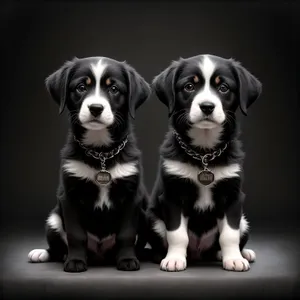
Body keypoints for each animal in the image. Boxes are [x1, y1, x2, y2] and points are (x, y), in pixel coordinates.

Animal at [27, 55, 150, 272]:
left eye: (114, 88)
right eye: (81, 87)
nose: (95, 108)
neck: (101, 153)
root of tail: (99, 256)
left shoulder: (132, 196)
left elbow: (126, 234)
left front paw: (127, 260)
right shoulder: (69, 195)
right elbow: (76, 235)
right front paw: (75, 261)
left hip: (144, 217)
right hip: (53, 219)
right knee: (57, 246)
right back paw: (44, 253)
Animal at [148, 54, 262, 272]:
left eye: (223, 87)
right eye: (189, 86)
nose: (207, 106)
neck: (204, 153)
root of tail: (199, 253)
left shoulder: (232, 195)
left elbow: (230, 234)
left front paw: (234, 259)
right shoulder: (173, 196)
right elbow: (176, 234)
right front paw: (174, 259)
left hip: (244, 221)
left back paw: (243, 253)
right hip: (153, 219)